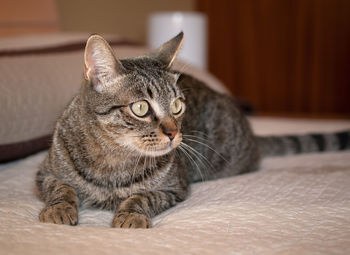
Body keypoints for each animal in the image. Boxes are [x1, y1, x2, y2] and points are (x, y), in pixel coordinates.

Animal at [36, 30, 350, 228]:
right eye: (141, 108)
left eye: (177, 105)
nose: (174, 133)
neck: (113, 159)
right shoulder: (43, 173)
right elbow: (62, 188)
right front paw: (58, 210)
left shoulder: (175, 187)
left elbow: (143, 196)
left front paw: (131, 214)